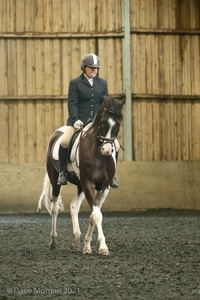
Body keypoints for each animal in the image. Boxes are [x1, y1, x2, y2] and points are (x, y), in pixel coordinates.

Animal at [37, 96, 124, 255]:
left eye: (118, 124)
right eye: (102, 122)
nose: (107, 150)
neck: (98, 155)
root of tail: (57, 132)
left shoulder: (104, 188)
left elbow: (93, 215)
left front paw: (87, 246)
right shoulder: (88, 183)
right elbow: (97, 215)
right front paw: (103, 247)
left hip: (80, 186)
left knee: (73, 206)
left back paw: (75, 239)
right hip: (56, 180)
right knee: (54, 209)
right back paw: (53, 242)